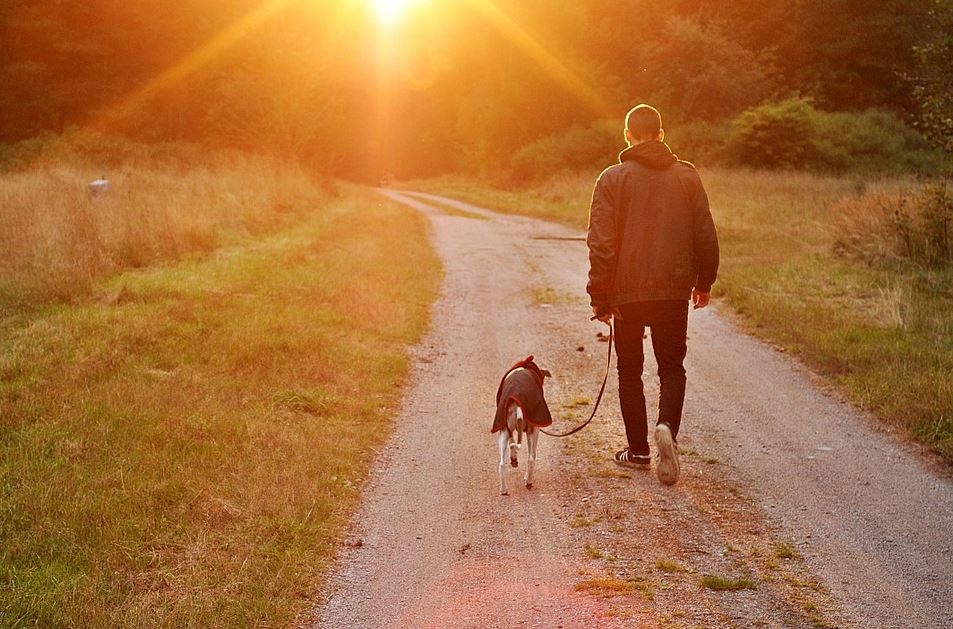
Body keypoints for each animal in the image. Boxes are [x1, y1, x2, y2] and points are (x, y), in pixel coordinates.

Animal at [490, 356, 552, 494]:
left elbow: (512, 443)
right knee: (531, 459)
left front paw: (514, 459)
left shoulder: (509, 430)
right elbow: (531, 455)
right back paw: (528, 481)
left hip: (503, 431)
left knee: (501, 464)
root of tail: (517, 401)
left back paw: (503, 489)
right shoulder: (535, 430)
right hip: (532, 431)